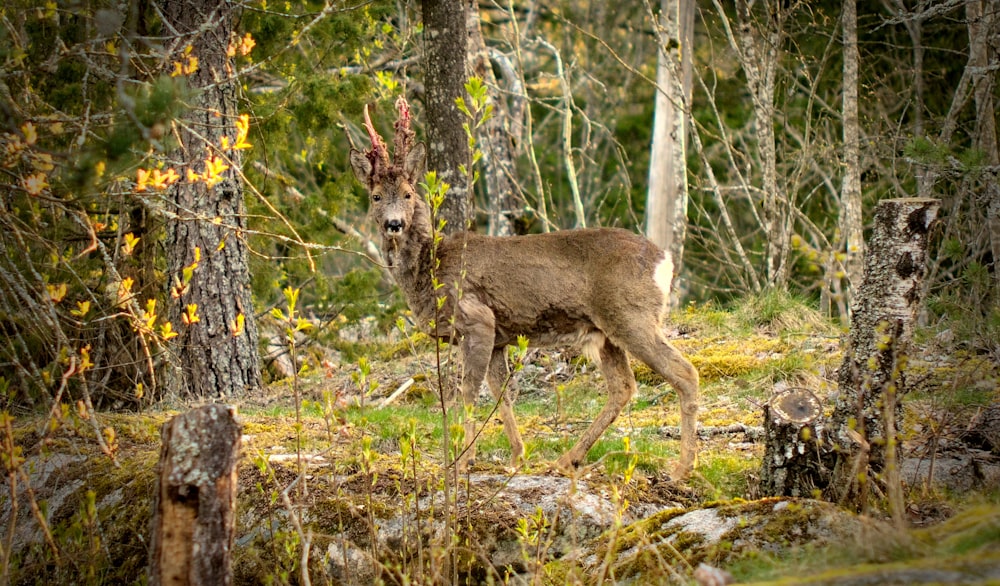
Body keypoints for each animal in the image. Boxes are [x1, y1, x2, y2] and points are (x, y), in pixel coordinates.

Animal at [356, 98, 700, 476]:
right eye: (375, 196)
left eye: (407, 193)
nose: (394, 224)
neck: (429, 269)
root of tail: (665, 260)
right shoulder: (499, 337)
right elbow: (500, 392)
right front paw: (517, 455)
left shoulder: (477, 318)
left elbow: (468, 390)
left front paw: (463, 460)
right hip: (606, 331)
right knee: (623, 387)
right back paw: (569, 458)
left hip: (630, 315)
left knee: (684, 373)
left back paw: (683, 467)